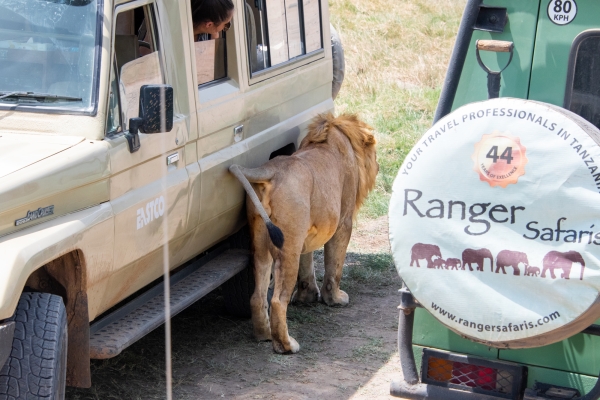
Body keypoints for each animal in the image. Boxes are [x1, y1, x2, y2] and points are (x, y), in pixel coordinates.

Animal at [230, 112, 376, 354]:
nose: (379, 165)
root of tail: (272, 170)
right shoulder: (343, 222)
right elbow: (334, 266)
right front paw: (334, 299)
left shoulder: (307, 232)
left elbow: (307, 264)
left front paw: (308, 296)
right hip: (288, 245)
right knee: (278, 300)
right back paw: (287, 345)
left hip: (261, 242)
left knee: (257, 296)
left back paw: (265, 335)